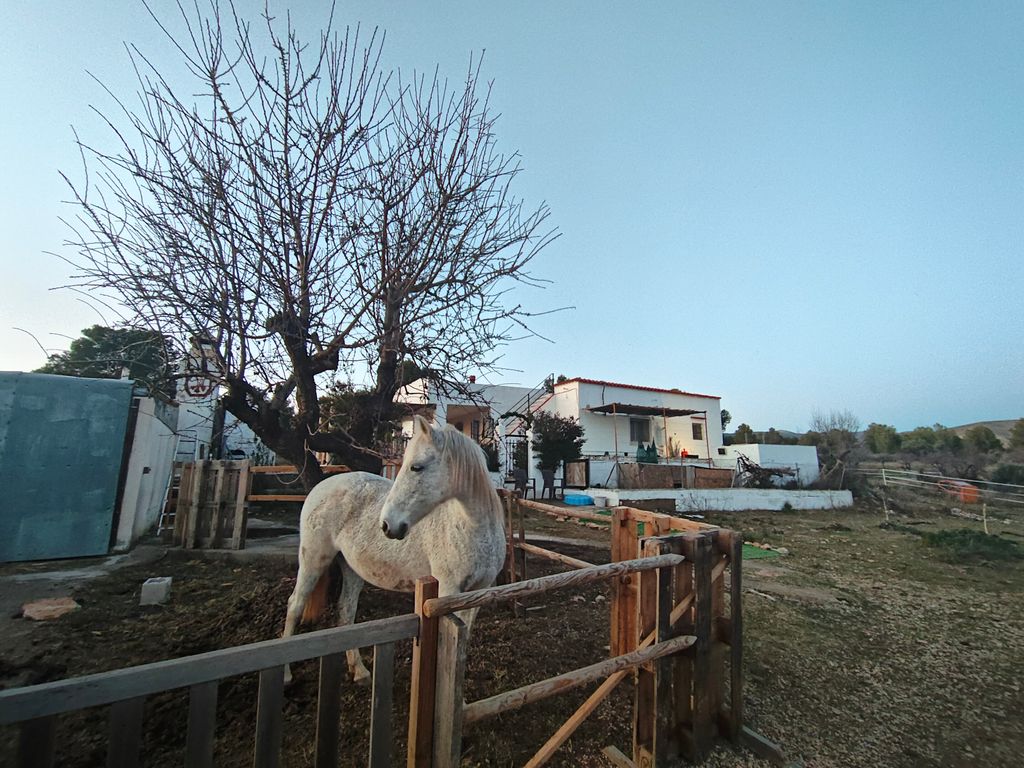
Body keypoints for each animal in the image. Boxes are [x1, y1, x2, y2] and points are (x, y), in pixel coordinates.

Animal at [281, 414, 506, 683]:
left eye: (416, 467)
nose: (387, 525)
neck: (471, 527)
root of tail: (320, 487)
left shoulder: (478, 592)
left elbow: (464, 640)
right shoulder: (448, 592)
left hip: (351, 569)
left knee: (346, 611)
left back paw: (359, 670)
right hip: (313, 559)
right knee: (295, 604)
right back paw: (285, 674)